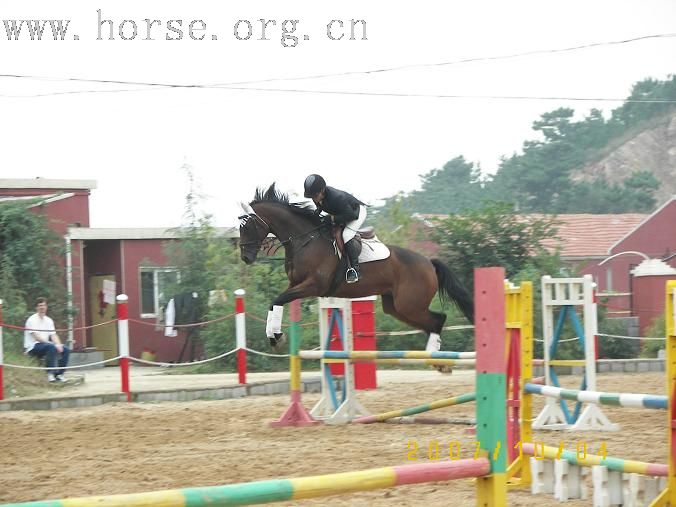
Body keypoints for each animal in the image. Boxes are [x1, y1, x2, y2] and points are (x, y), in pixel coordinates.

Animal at [239, 185, 476, 352]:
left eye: (248, 226)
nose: (245, 257)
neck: (305, 240)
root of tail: (429, 263)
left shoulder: (313, 285)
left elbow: (277, 300)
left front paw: (277, 337)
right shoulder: (295, 284)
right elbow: (274, 303)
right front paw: (273, 336)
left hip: (410, 304)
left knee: (438, 320)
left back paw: (436, 360)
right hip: (397, 307)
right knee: (430, 323)